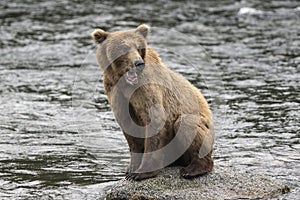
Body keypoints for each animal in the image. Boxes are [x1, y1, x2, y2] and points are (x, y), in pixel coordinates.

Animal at [92, 24, 214, 180]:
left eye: (139, 47)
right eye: (124, 48)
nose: (138, 63)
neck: (126, 83)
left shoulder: (147, 88)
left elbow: (154, 120)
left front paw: (141, 172)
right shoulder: (115, 92)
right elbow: (129, 128)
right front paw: (131, 168)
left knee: (186, 124)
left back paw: (192, 169)